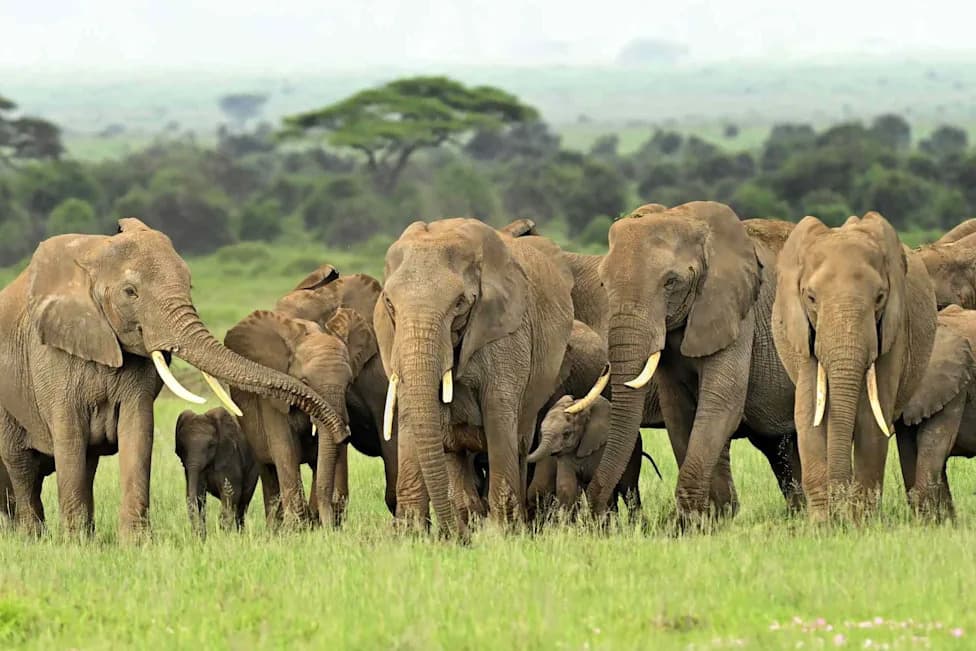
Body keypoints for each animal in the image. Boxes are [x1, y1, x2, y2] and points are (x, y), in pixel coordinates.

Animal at [175, 407, 259, 536]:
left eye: (211, 445)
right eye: (182, 446)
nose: (196, 534)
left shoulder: (230, 458)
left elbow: (230, 495)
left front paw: (223, 537)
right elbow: (199, 494)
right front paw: (202, 538)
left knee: (242, 504)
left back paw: (241, 536)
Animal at [224, 307, 375, 527]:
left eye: (348, 384)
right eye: (304, 382)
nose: (328, 525)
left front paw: (316, 524)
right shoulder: (271, 399)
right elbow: (285, 451)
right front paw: (297, 529)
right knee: (268, 470)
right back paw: (275, 529)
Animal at [375, 218, 575, 537]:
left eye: (459, 304)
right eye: (390, 304)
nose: (456, 538)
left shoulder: (507, 332)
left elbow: (498, 412)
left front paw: (501, 535)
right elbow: (408, 413)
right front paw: (411, 536)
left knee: (518, 441)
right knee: (454, 449)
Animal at [587, 202, 802, 524]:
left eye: (670, 282)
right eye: (603, 283)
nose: (601, 518)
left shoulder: (736, 310)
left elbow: (719, 402)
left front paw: (688, 522)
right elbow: (678, 411)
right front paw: (713, 519)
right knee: (782, 447)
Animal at [772, 212, 937, 520]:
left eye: (880, 297)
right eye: (810, 298)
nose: (839, 512)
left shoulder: (893, 331)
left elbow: (872, 418)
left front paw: (860, 523)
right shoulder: (803, 333)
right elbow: (809, 413)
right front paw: (822, 525)